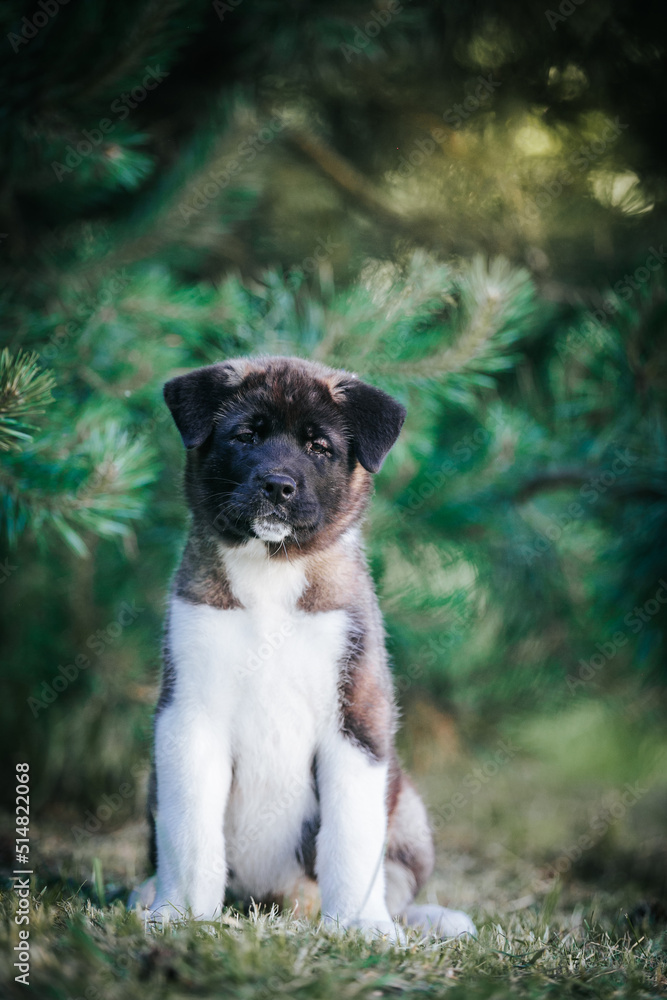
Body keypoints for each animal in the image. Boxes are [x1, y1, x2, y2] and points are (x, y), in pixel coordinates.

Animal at [132, 356, 474, 940]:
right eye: (246, 436)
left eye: (319, 447)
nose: (277, 486)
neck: (272, 573)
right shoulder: (188, 719)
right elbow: (191, 832)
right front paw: (179, 915)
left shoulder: (356, 720)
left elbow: (352, 841)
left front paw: (362, 925)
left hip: (407, 806)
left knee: (395, 879)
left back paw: (421, 918)